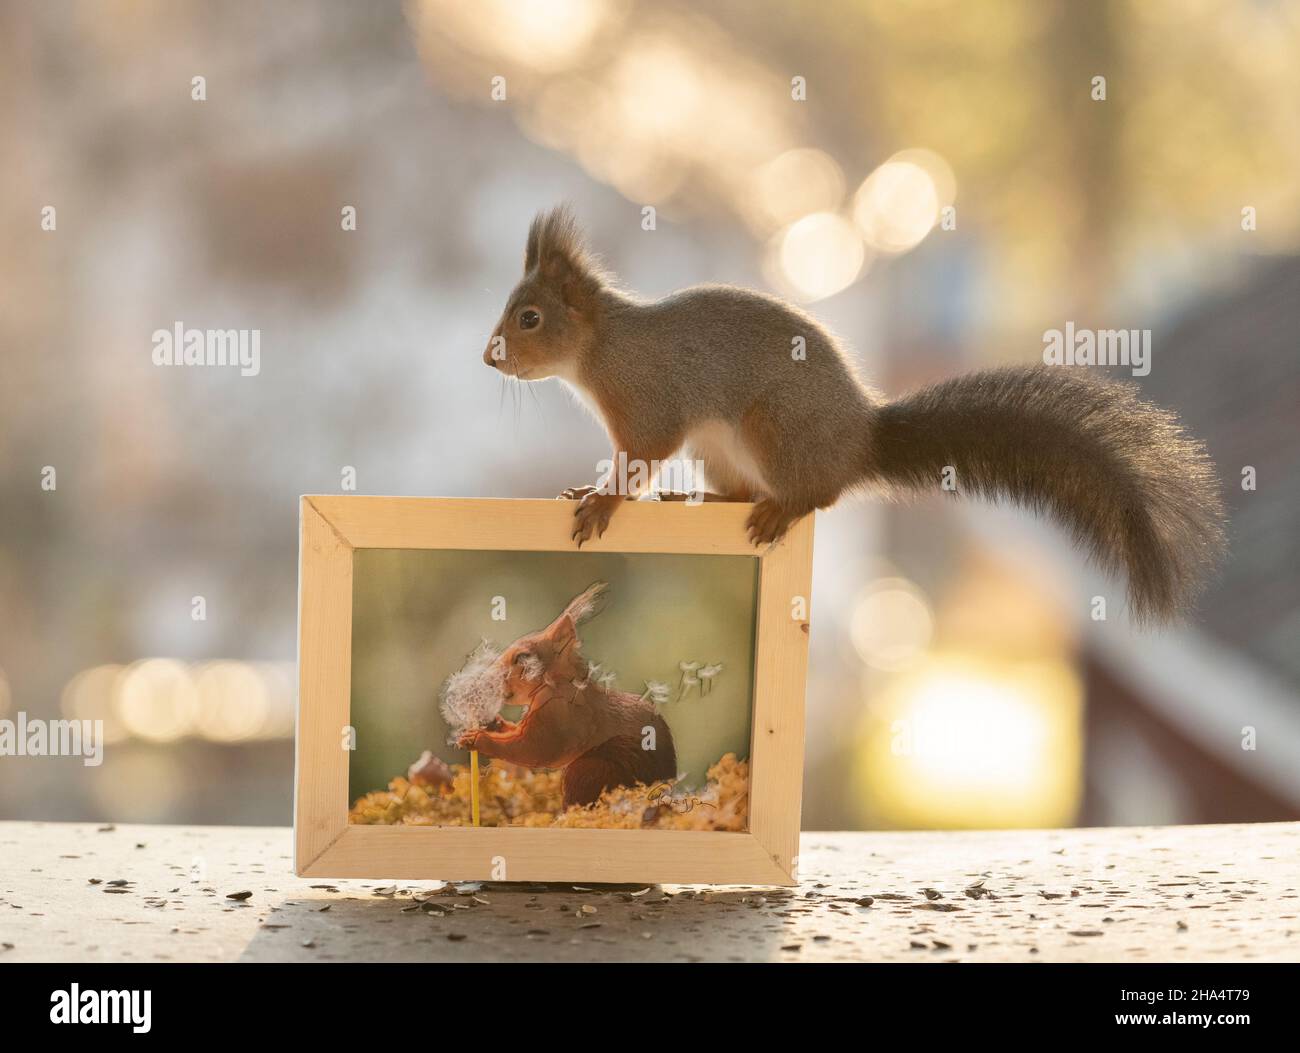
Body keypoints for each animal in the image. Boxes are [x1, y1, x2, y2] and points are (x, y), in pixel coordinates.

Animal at [454, 579, 676, 806]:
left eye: (522, 657)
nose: (487, 680)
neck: (553, 685)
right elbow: (516, 733)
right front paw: (493, 723)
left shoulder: (559, 716)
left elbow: (534, 749)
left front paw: (477, 738)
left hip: (591, 770)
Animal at [486, 202, 1227, 624]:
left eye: (531, 318)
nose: (490, 358)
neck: (600, 350)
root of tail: (859, 440)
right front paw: (585, 491)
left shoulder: (652, 406)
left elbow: (637, 459)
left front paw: (603, 502)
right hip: (720, 449)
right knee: (743, 489)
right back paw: (708, 499)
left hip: (774, 429)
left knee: (818, 494)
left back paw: (781, 508)